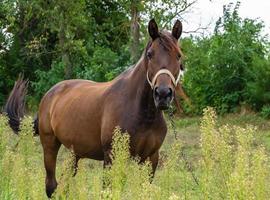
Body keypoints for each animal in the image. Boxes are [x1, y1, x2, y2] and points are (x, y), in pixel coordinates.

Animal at [5, 18, 185, 197]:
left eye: (178, 55)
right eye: (150, 54)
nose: (163, 94)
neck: (142, 113)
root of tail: (49, 94)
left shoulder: (151, 159)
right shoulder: (111, 157)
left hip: (74, 153)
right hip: (49, 145)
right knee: (51, 186)